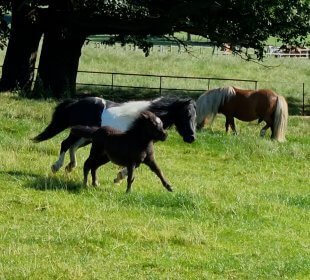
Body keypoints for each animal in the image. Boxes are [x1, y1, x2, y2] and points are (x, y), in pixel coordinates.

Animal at [32, 95, 196, 180]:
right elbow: (134, 165)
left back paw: (70, 166)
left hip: (86, 137)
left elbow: (137, 165)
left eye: (195, 116)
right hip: (77, 133)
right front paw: (119, 177)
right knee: (65, 144)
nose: (192, 137)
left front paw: (119, 177)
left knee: (73, 146)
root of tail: (77, 102)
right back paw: (57, 166)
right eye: (187, 114)